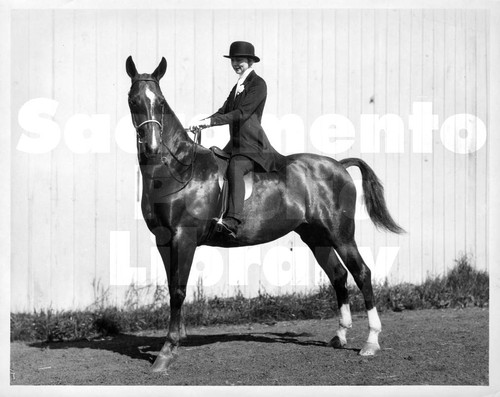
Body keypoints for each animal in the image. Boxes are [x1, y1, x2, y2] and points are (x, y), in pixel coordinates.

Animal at [127, 55, 404, 372]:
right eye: (133, 100)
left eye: (160, 101)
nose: (152, 147)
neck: (177, 169)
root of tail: (339, 165)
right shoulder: (164, 240)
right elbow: (174, 285)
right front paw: (177, 339)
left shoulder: (183, 238)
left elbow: (178, 290)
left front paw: (166, 352)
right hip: (315, 236)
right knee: (338, 275)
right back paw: (340, 336)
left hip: (340, 233)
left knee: (361, 273)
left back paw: (371, 342)